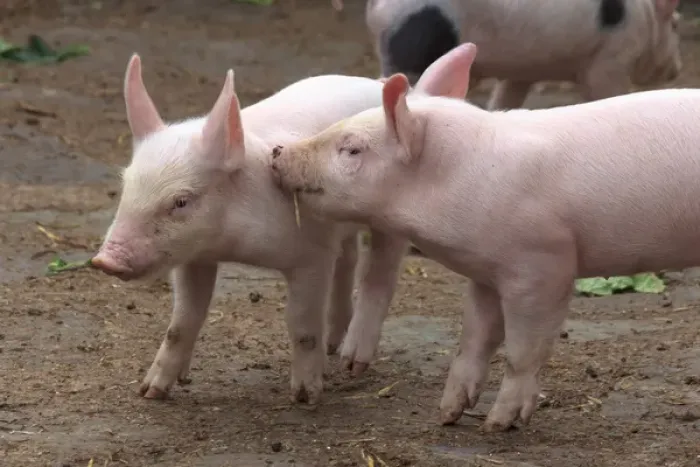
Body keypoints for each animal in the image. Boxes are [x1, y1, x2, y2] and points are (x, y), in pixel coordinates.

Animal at [90, 45, 473, 403]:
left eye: (181, 201)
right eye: (125, 185)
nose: (105, 260)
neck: (233, 244)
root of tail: (416, 97)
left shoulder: (310, 255)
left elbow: (301, 324)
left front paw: (306, 396)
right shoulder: (195, 258)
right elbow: (182, 322)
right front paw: (151, 391)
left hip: (388, 217)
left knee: (380, 273)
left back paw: (351, 362)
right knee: (347, 260)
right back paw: (333, 345)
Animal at [270, 42, 700, 432]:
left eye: (352, 149)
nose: (277, 151)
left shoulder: (544, 266)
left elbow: (522, 351)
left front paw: (497, 425)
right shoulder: (485, 273)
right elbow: (474, 339)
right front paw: (447, 415)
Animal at [366, 0, 682, 109]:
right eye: (676, 24)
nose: (676, 70)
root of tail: (378, 9)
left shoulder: (522, 74)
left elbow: (505, 98)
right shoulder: (612, 58)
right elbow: (606, 93)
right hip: (416, 47)